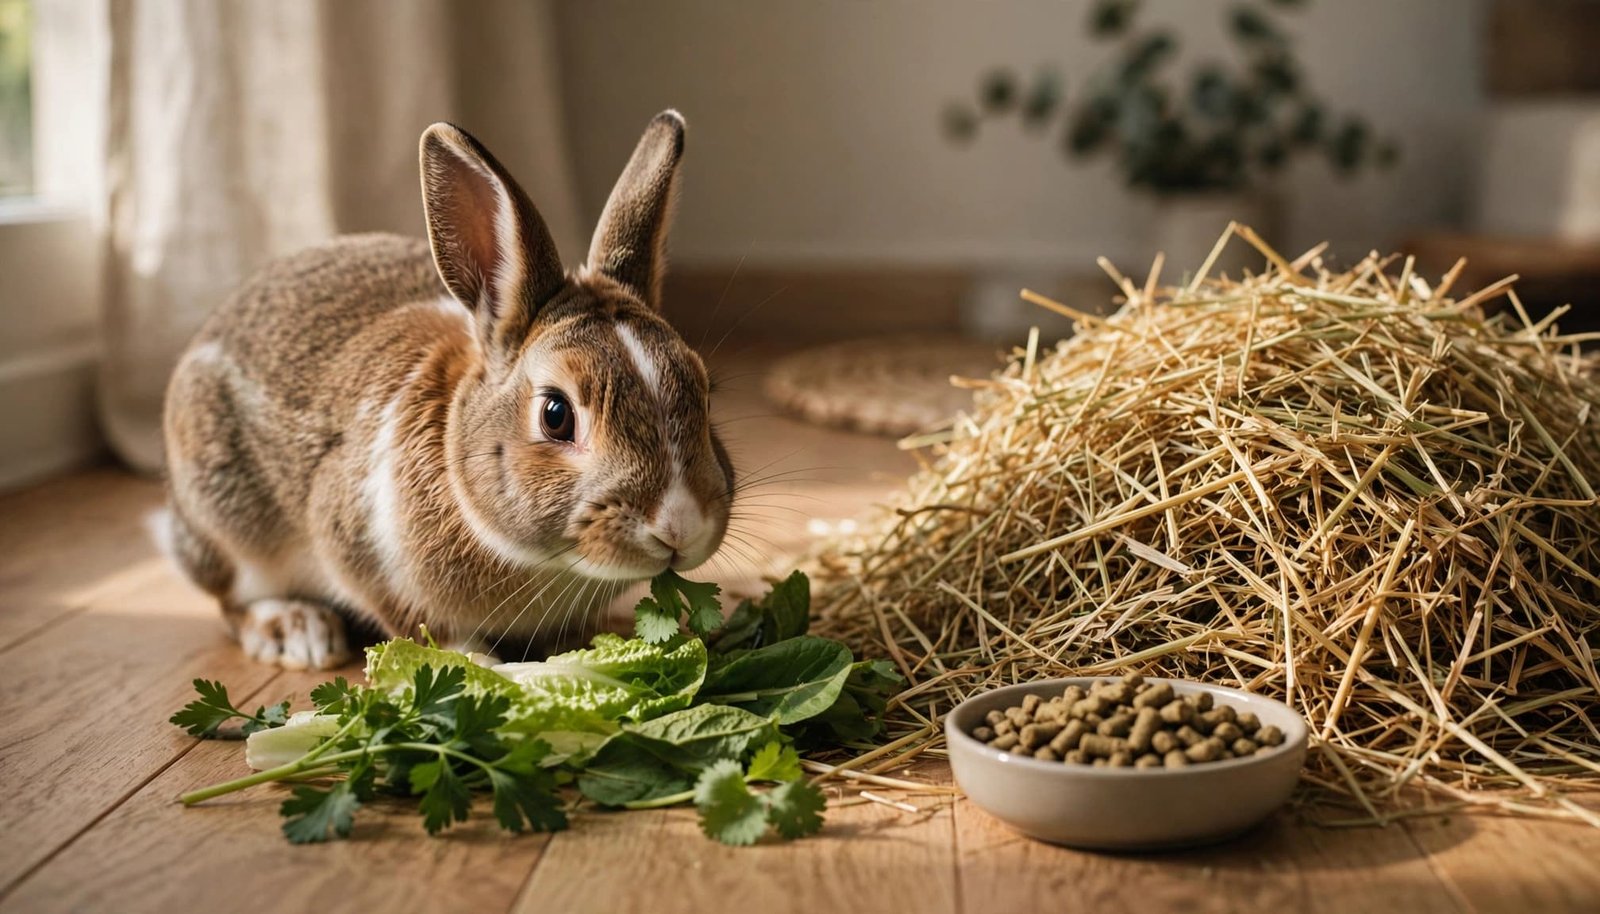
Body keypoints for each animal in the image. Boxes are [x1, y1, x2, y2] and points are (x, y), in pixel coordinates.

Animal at [160, 111, 733, 670]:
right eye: (556, 415)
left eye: (704, 394)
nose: (680, 526)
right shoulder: (359, 550)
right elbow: (421, 624)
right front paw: (481, 666)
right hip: (230, 526)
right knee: (232, 601)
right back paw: (299, 632)